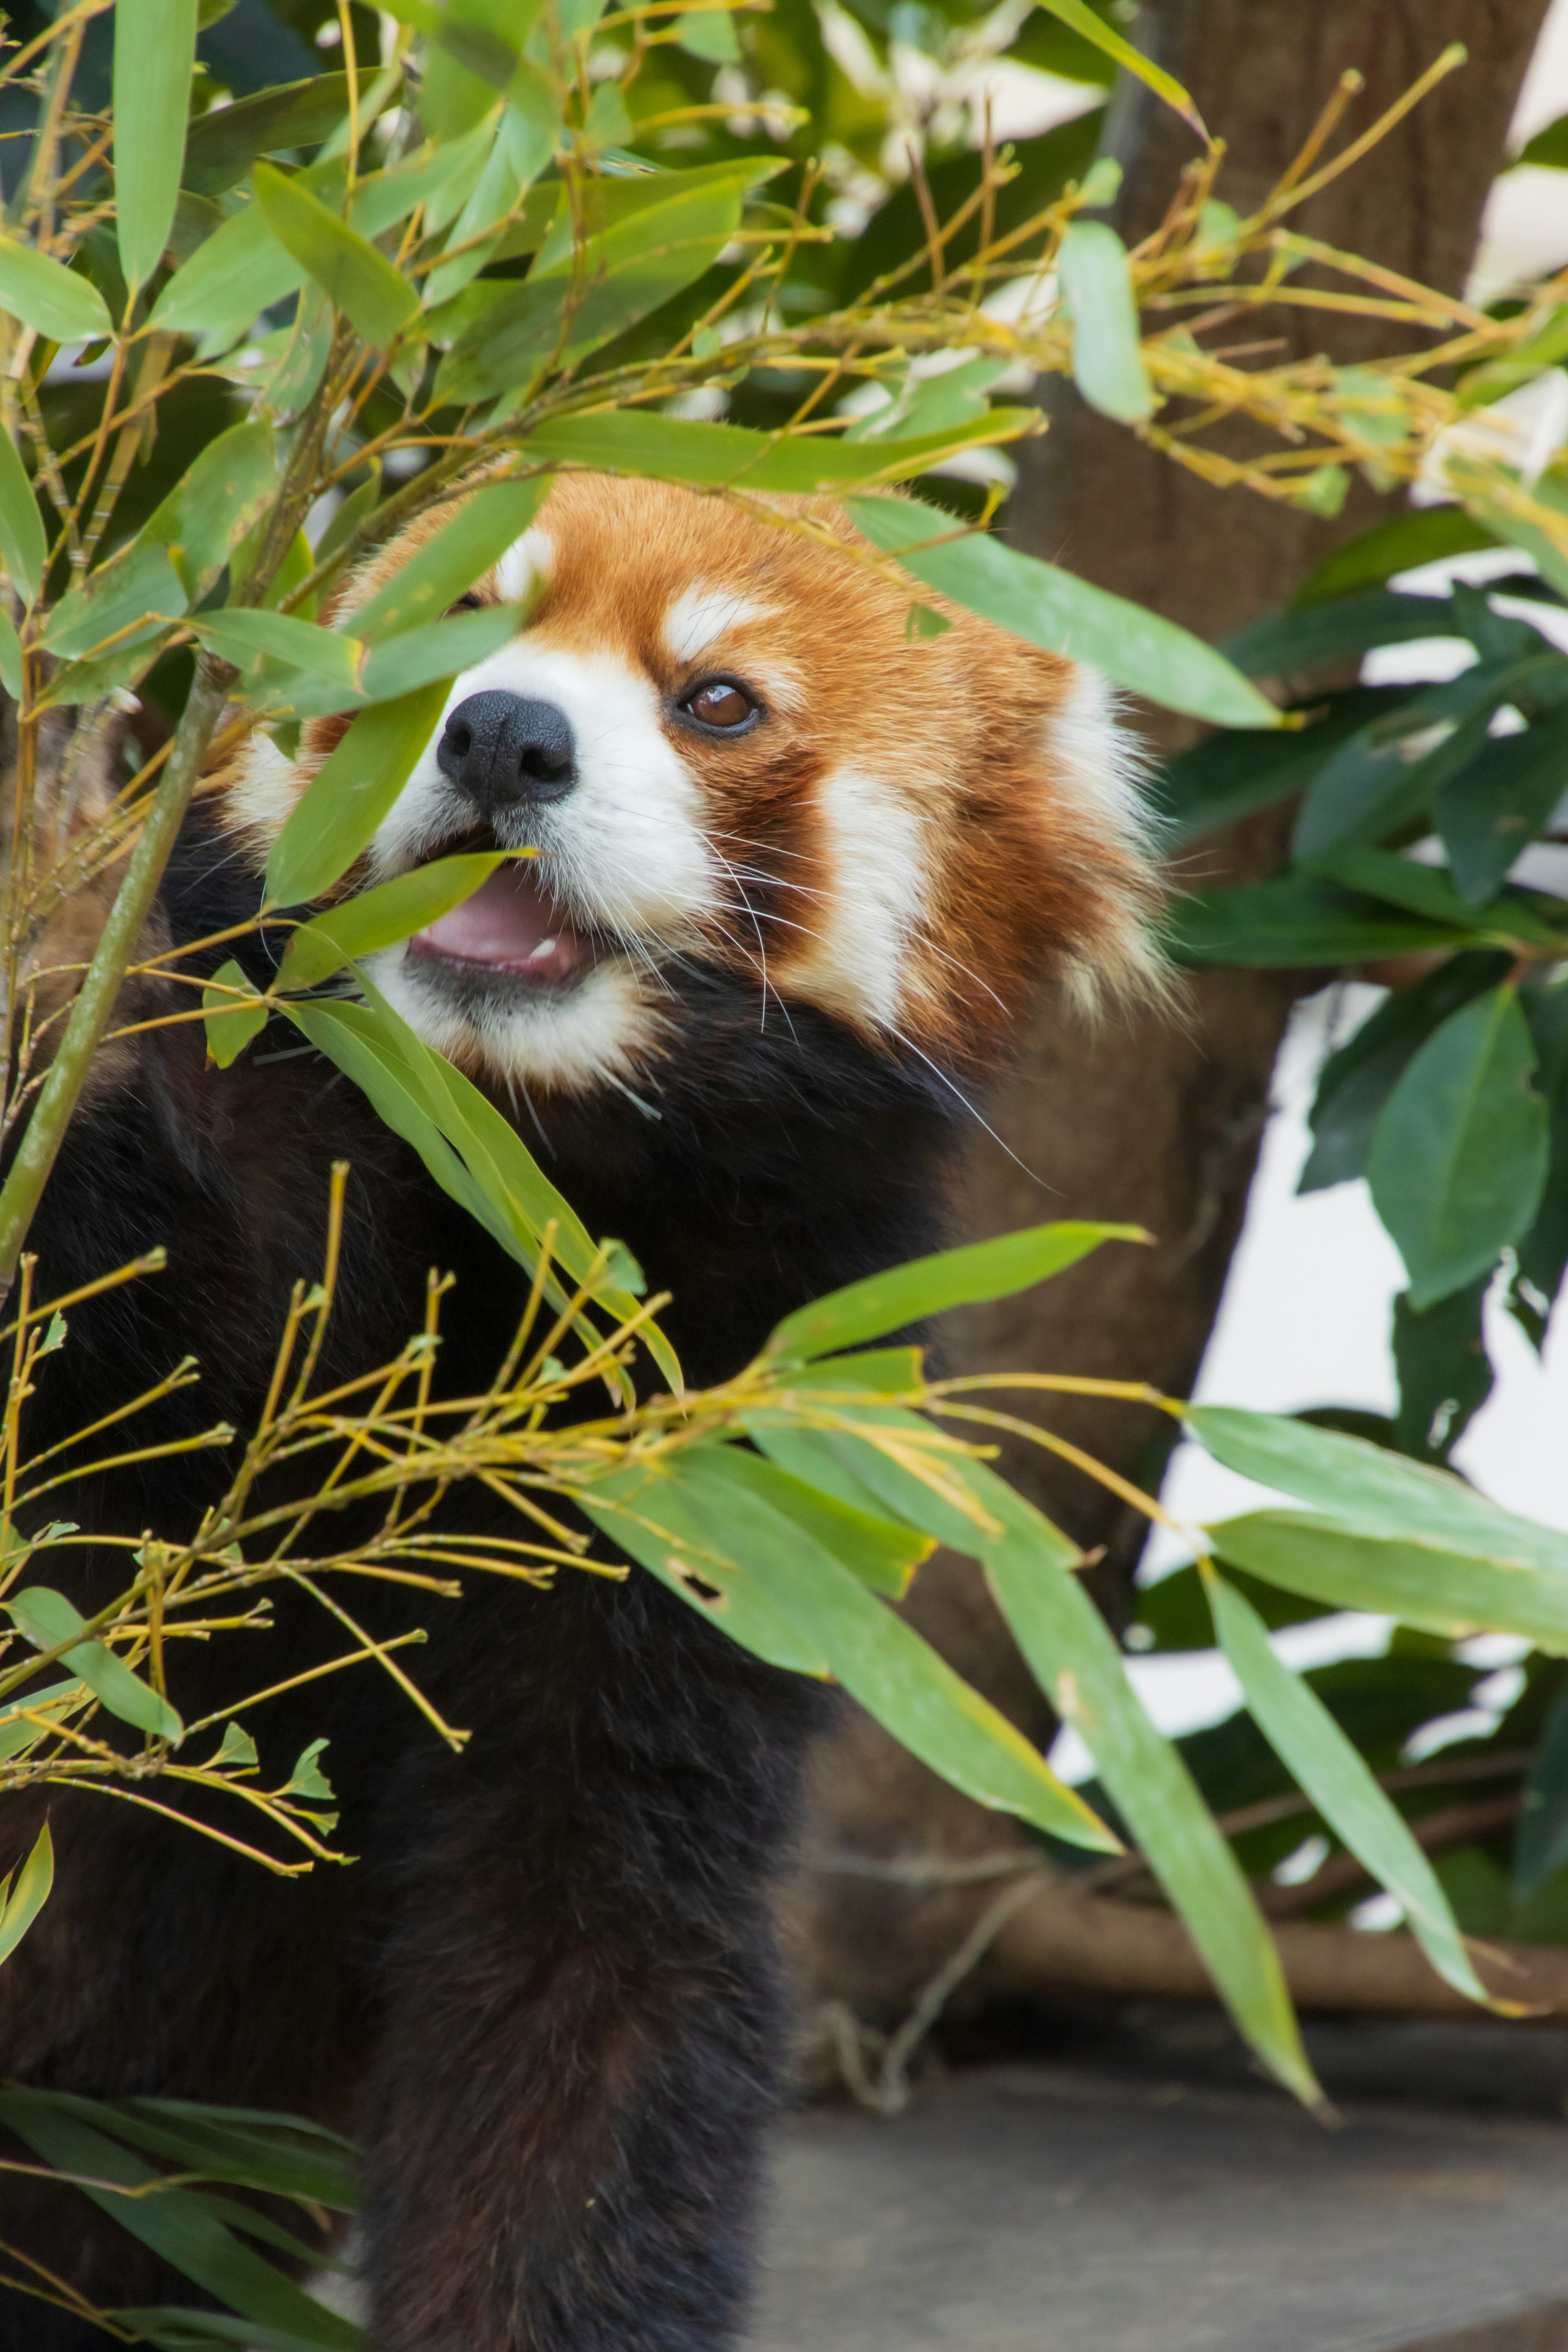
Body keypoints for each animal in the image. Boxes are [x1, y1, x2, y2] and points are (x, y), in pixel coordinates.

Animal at [0, 477, 1152, 2352]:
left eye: (719, 702)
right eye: (470, 614)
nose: (504, 735)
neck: (513, 1170)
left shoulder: (717, 1451)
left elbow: (592, 1979)